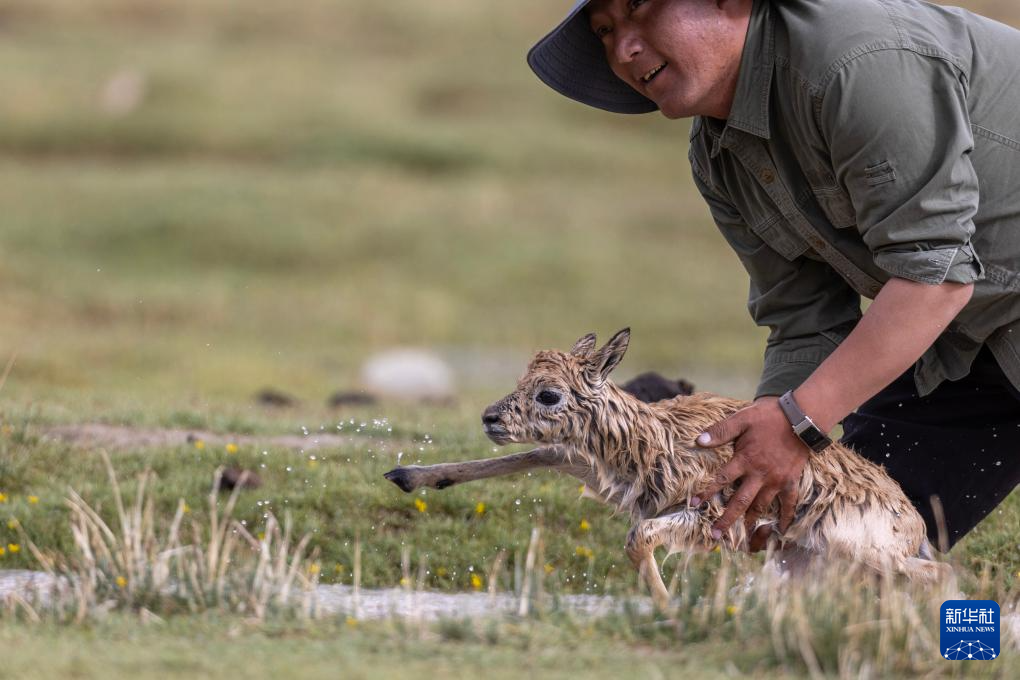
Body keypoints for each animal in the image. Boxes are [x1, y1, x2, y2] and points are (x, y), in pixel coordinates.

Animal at [384, 329, 948, 609]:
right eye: (523, 380)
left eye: (549, 393)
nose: (490, 417)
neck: (653, 439)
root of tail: (913, 522)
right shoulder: (581, 460)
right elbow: (530, 454)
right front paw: (410, 475)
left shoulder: (710, 518)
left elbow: (638, 538)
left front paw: (667, 605)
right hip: (809, 562)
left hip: (859, 551)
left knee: (938, 572)